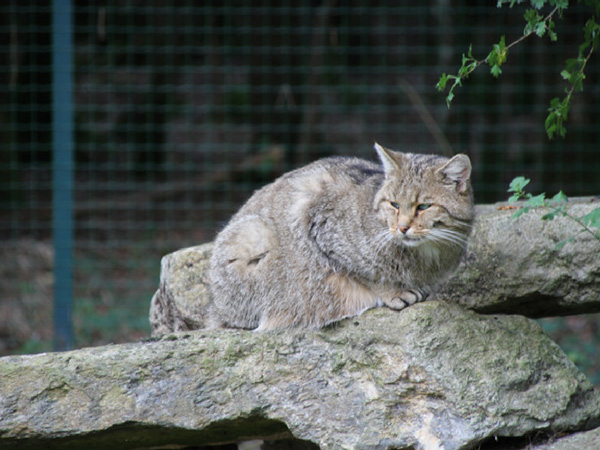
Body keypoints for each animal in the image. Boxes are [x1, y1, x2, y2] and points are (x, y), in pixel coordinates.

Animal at [206, 144, 474, 330]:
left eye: (424, 207)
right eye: (394, 204)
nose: (402, 227)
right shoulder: (321, 225)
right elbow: (367, 273)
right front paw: (393, 291)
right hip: (254, 238)